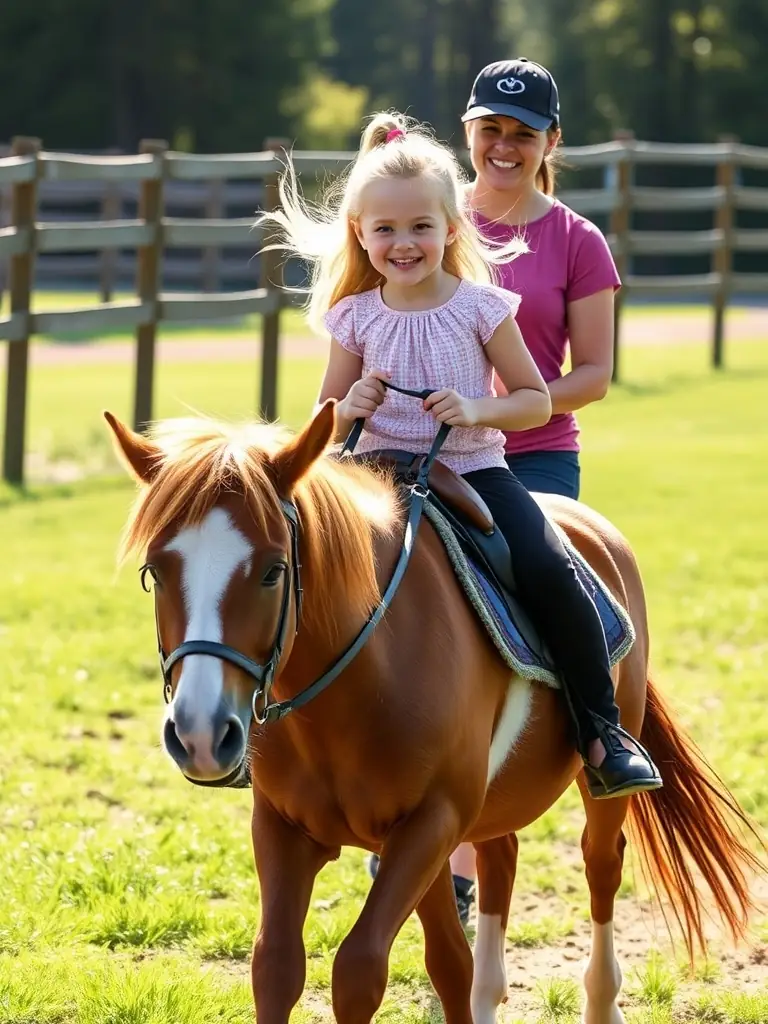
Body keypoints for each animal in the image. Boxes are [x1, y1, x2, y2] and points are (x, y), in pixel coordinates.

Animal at [105, 401, 764, 1024]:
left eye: (272, 571)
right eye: (155, 572)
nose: (199, 734)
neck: (360, 678)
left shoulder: (430, 822)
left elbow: (361, 969)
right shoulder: (289, 827)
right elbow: (282, 966)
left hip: (598, 781)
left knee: (601, 865)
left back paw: (602, 1001)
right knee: (499, 866)